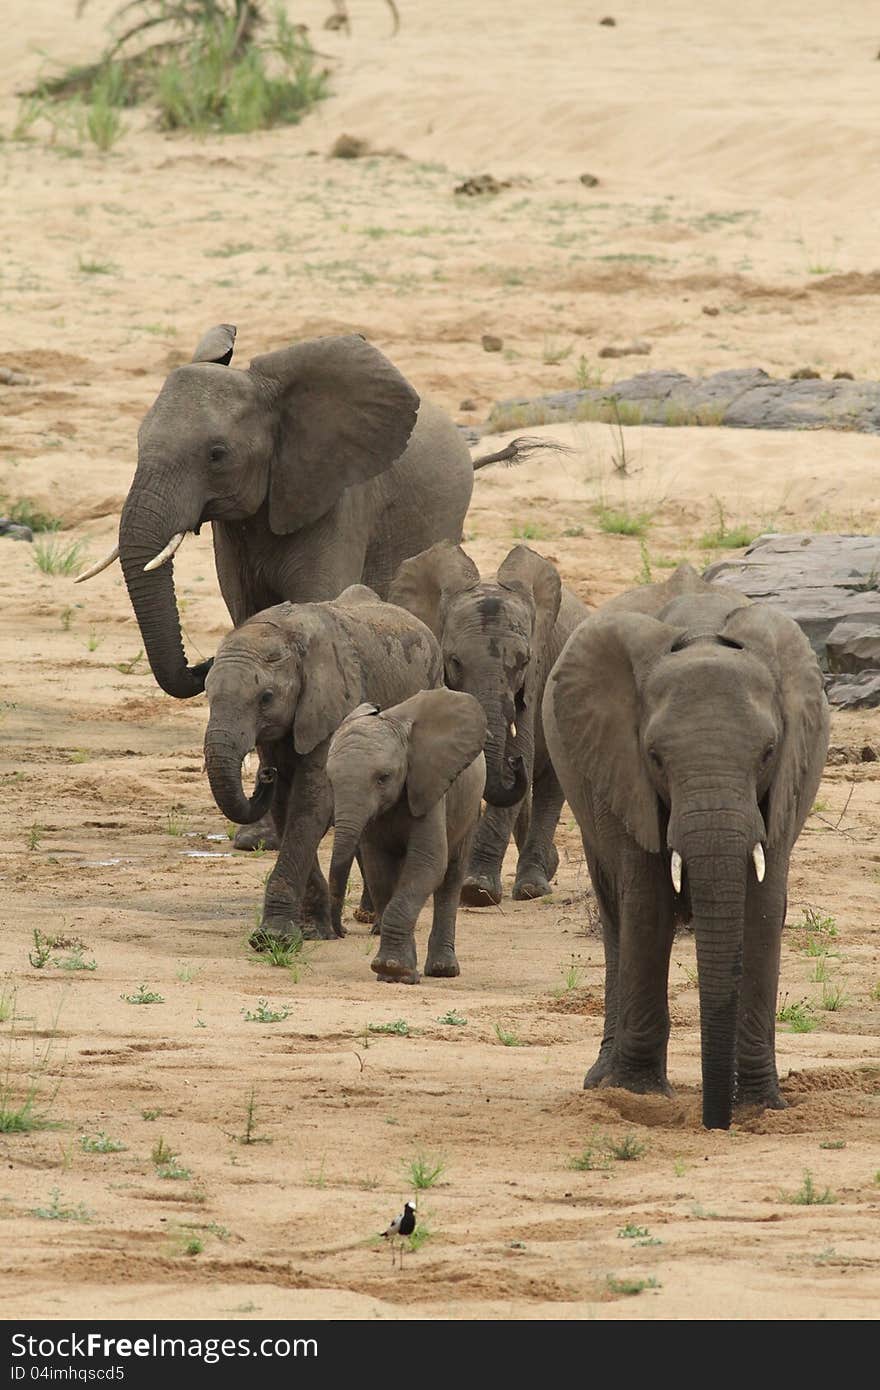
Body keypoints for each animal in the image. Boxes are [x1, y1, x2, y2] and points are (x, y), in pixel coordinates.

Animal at [202, 586, 442, 945]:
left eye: (266, 698)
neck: (283, 632)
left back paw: (374, 923)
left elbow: (312, 802)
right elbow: (286, 807)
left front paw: (274, 938)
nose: (265, 774)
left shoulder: (335, 703)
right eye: (206, 694)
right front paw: (312, 931)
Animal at [326, 689, 486, 984]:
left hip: (470, 806)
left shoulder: (428, 789)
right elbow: (378, 871)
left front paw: (393, 969)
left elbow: (427, 865)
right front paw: (393, 974)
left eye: (383, 778)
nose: (340, 931)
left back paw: (443, 971)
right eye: (330, 781)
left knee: (451, 876)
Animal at [386, 536, 586, 906]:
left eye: (524, 661)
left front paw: (476, 890)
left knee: (552, 784)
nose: (513, 762)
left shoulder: (535, 680)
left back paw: (533, 886)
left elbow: (523, 748)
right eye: (454, 661)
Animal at [539, 561, 828, 1128]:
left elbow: (763, 909)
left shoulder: (789, 780)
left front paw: (760, 1107)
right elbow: (648, 905)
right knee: (617, 915)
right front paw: (640, 1098)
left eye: (768, 752)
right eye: (654, 756)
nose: (715, 1123)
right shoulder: (621, 770)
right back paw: (602, 1083)